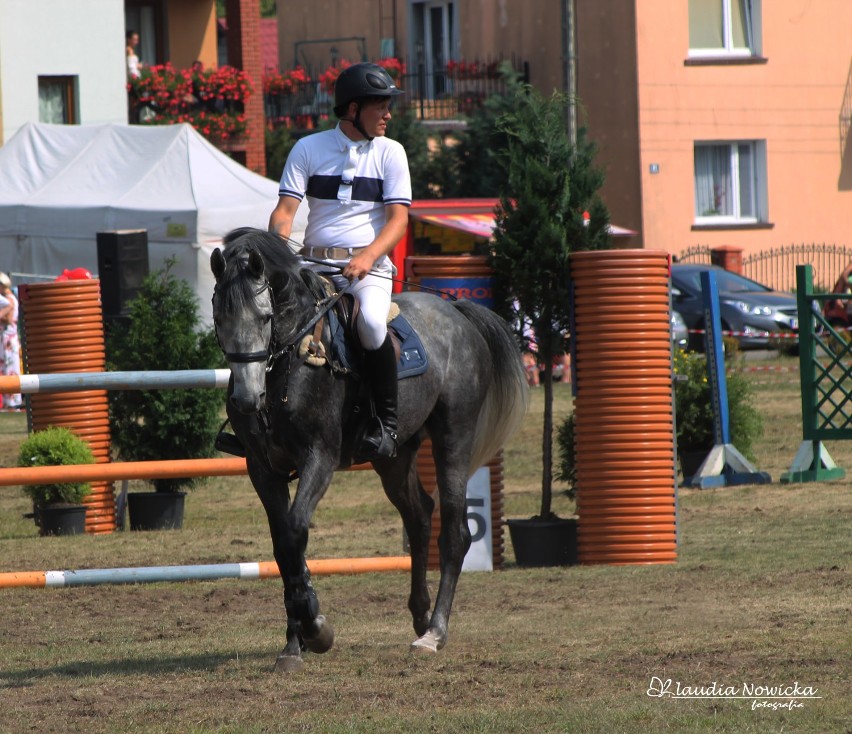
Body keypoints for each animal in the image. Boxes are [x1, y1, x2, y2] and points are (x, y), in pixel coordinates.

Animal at [210, 229, 524, 672]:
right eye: (219, 319)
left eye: (265, 318)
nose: (246, 399)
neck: (286, 365)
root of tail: (457, 311)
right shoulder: (262, 469)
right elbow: (284, 546)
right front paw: (294, 643)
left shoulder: (319, 458)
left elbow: (294, 532)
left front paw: (316, 628)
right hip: (394, 457)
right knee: (419, 514)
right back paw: (420, 614)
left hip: (454, 440)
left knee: (455, 532)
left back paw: (434, 632)